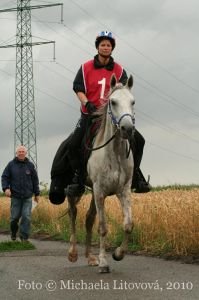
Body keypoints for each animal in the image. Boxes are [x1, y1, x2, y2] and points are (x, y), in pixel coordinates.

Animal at [67, 74, 135, 274]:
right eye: (113, 102)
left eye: (133, 102)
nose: (127, 129)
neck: (115, 152)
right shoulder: (99, 191)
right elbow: (103, 227)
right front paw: (104, 263)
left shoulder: (123, 190)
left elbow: (128, 224)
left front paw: (118, 254)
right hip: (75, 189)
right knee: (73, 213)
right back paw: (73, 253)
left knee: (89, 218)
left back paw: (90, 257)